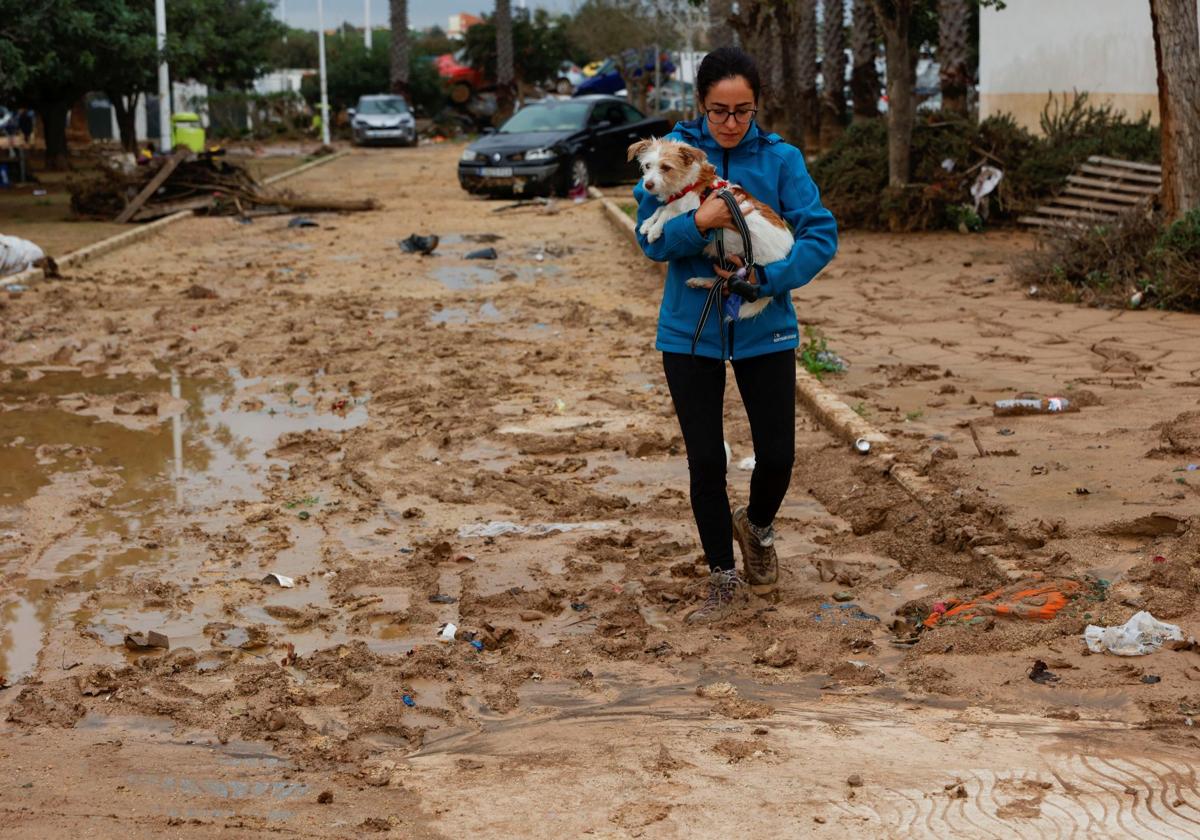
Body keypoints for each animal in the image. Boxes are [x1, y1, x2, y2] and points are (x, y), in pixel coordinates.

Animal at [633, 141, 792, 319]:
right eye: (647, 165)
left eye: (666, 167)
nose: (648, 185)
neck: (690, 184)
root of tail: (785, 252)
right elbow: (661, 209)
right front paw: (647, 224)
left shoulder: (695, 208)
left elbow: (666, 212)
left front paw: (654, 230)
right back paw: (700, 281)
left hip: (752, 265)